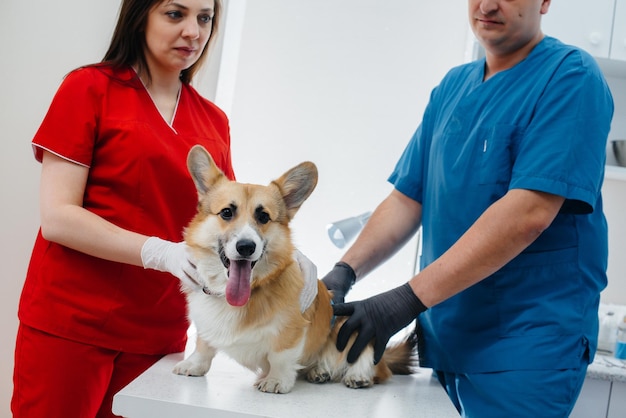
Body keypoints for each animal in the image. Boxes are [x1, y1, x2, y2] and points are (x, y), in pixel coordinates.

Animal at [172, 145, 414, 394]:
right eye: (227, 212)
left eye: (263, 216)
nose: (246, 247)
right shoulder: (205, 323)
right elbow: (203, 345)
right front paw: (194, 364)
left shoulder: (292, 330)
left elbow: (280, 356)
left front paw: (276, 380)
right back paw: (319, 371)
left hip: (349, 324)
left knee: (370, 360)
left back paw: (357, 375)